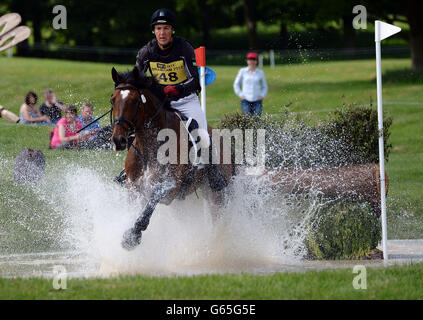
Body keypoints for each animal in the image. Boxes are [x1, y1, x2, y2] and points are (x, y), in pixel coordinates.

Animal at [111, 65, 234, 250]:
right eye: (112, 100)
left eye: (135, 101)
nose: (119, 140)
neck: (149, 147)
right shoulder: (134, 185)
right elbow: (136, 207)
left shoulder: (170, 186)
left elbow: (151, 202)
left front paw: (132, 236)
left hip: (218, 194)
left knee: (219, 218)